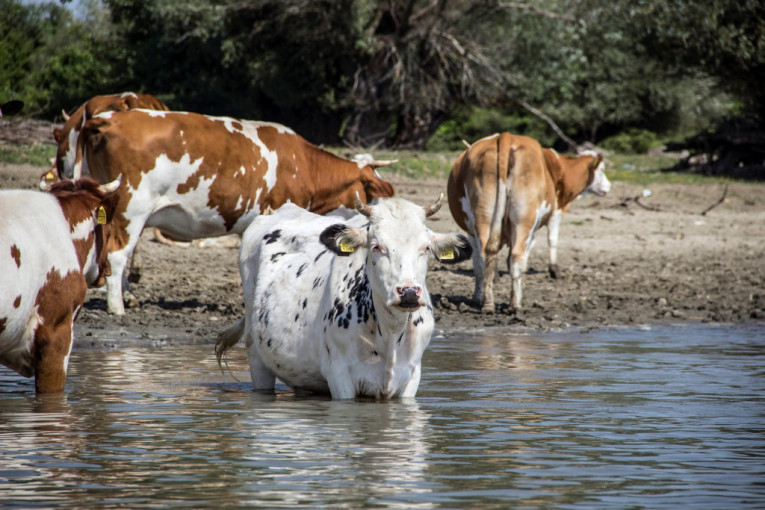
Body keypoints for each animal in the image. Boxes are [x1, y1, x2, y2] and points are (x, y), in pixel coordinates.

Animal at [77, 109, 396, 312]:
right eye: (372, 193)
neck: (302, 162)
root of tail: (107, 119)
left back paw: (127, 297)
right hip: (133, 207)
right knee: (118, 253)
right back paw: (117, 307)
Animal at [212, 193, 468, 400]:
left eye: (426, 248)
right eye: (376, 246)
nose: (408, 292)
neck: (390, 334)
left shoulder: (412, 377)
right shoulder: (340, 375)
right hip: (255, 354)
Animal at [444, 131, 612, 312]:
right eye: (602, 169)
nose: (608, 186)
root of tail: (505, 136)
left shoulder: (471, 231)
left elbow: (478, 263)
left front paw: (477, 297)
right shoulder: (555, 213)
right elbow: (551, 240)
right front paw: (554, 271)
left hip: (485, 218)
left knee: (485, 257)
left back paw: (488, 304)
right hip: (525, 219)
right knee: (517, 255)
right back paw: (515, 304)